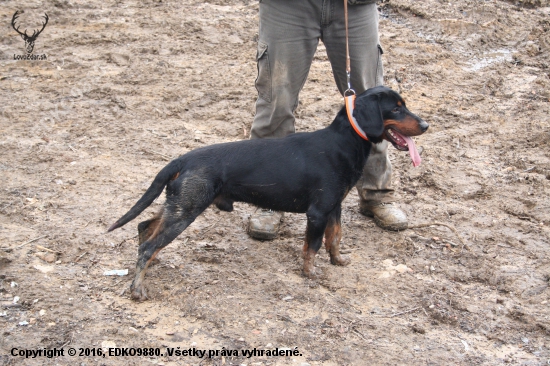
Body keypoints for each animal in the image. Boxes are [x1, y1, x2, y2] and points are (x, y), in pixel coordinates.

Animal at [106, 86, 426, 300]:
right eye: (395, 108)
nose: (425, 124)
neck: (342, 142)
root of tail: (182, 159)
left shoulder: (333, 207)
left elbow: (335, 238)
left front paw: (338, 261)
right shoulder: (318, 212)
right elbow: (312, 246)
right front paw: (310, 274)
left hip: (178, 204)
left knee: (145, 228)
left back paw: (151, 264)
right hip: (186, 210)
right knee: (148, 244)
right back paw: (138, 288)